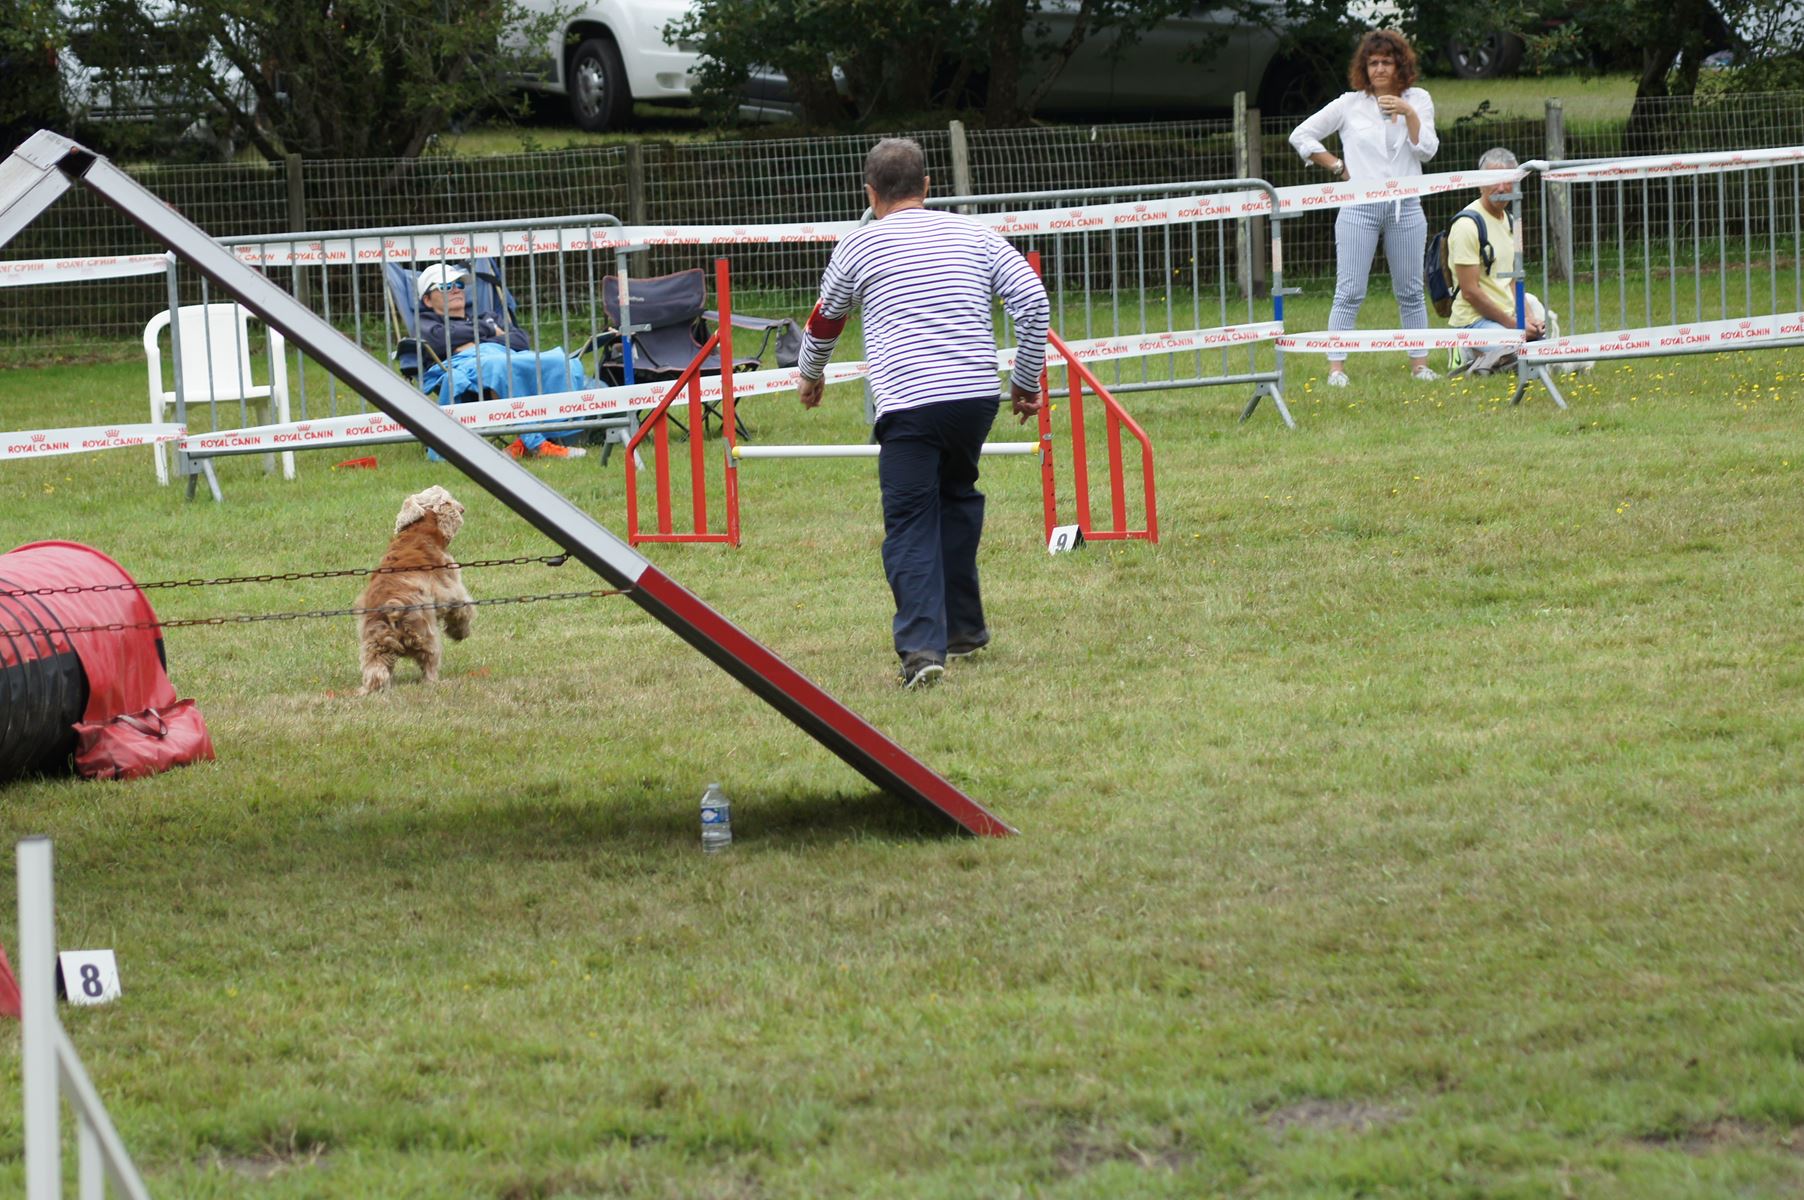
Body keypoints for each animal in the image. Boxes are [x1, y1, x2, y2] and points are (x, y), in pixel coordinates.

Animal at [353, 483, 472, 692]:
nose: (463, 509)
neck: (419, 531)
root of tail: (391, 607)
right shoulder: (452, 590)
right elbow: (463, 609)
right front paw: (460, 632)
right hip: (427, 635)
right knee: (429, 663)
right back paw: (436, 682)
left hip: (374, 644)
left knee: (376, 673)